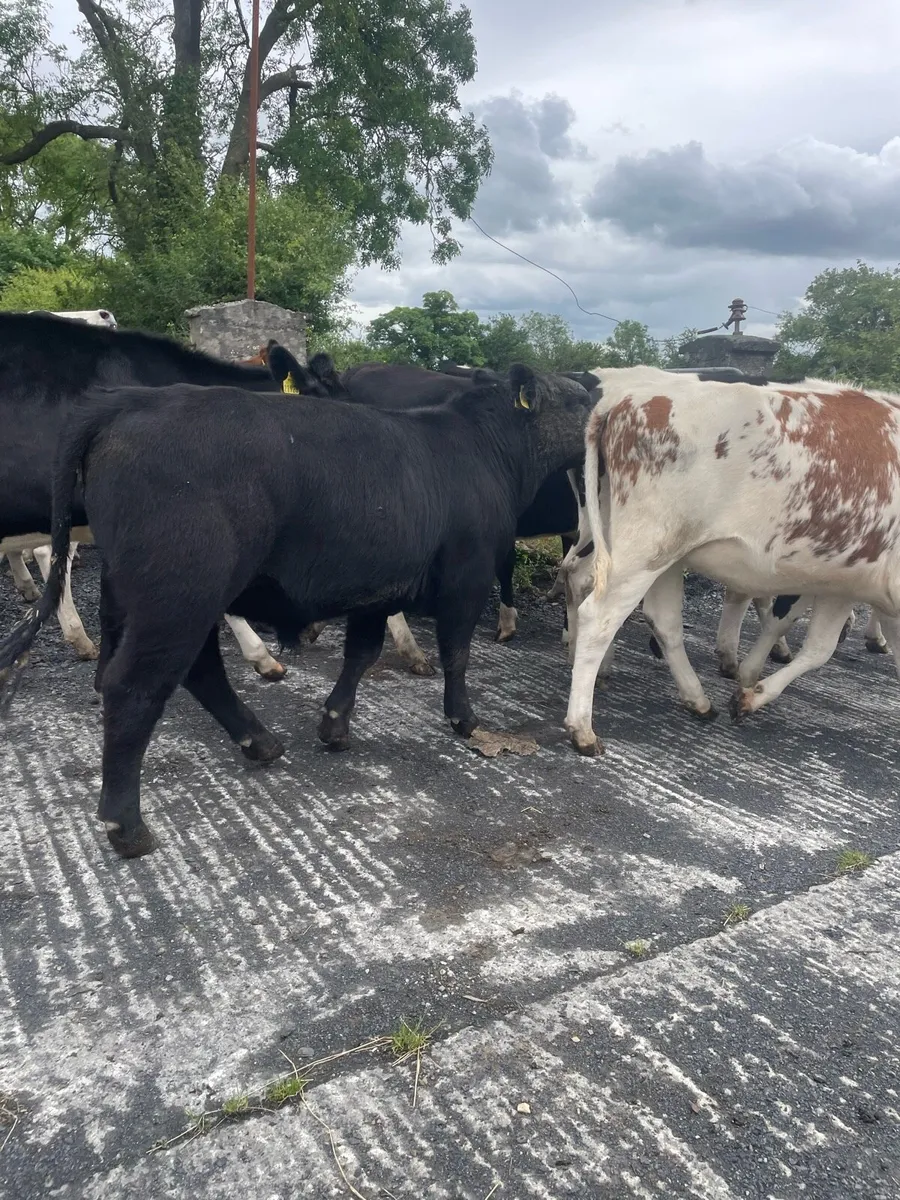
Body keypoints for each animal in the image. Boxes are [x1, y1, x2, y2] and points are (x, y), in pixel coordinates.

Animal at [0, 363, 592, 858]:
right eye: (581, 400)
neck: (480, 449)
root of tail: (127, 401)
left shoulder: (376, 589)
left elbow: (362, 653)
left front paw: (334, 725)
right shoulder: (466, 577)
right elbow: (457, 652)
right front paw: (464, 720)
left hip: (154, 592)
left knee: (194, 670)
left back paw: (259, 741)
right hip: (180, 593)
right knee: (137, 687)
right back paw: (126, 825)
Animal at [562, 370, 900, 756]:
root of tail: (623, 400)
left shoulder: (846, 584)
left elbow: (820, 647)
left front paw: (748, 692)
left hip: (656, 550)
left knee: (652, 614)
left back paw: (696, 700)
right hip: (644, 549)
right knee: (599, 617)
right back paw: (582, 728)